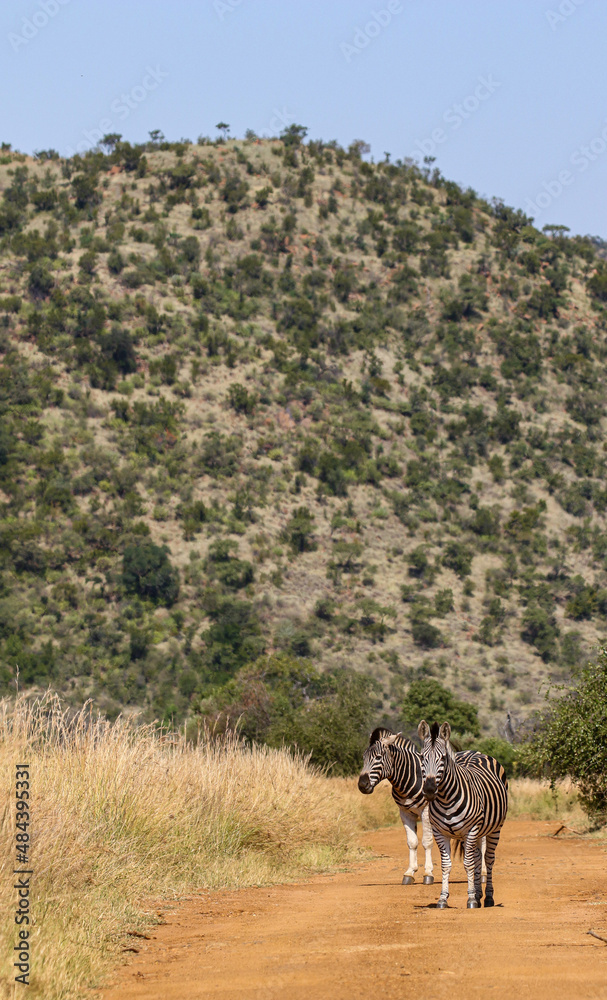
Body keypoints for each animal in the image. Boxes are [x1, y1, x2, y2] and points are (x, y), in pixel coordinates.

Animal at [358, 727, 435, 885]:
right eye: (363, 758)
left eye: (379, 757)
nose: (362, 785)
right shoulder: (404, 812)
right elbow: (412, 842)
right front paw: (409, 873)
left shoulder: (426, 810)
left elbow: (427, 841)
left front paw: (428, 873)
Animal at [418, 719, 508, 909]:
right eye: (422, 757)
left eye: (443, 758)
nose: (429, 790)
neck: (445, 799)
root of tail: (476, 752)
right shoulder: (439, 832)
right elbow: (446, 865)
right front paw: (443, 899)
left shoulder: (471, 829)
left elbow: (468, 863)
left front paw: (471, 899)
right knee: (477, 857)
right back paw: (479, 894)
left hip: (495, 829)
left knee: (488, 858)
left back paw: (488, 897)